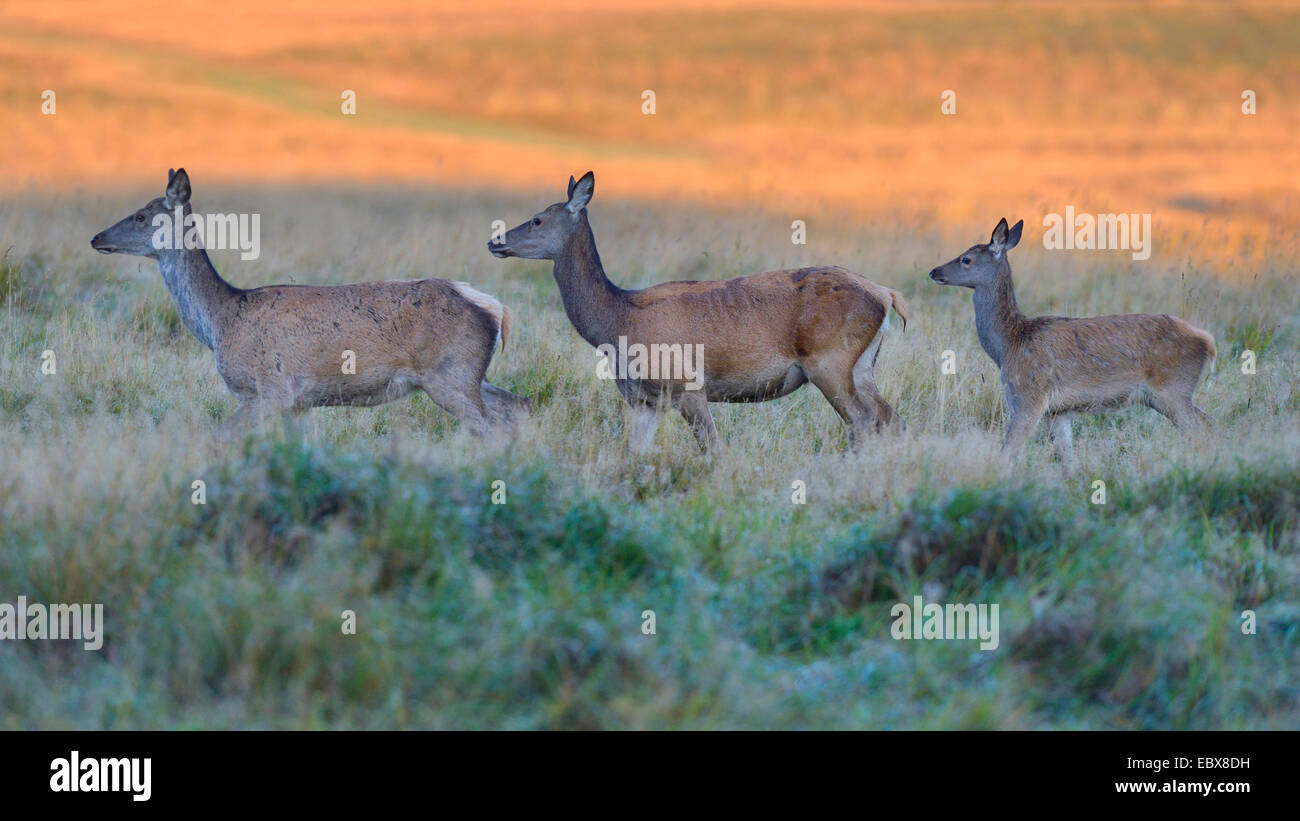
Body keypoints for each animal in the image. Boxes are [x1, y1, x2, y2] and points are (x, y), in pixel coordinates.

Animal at [91, 166, 530, 436]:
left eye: (141, 216)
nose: (96, 237)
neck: (221, 323)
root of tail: (497, 308)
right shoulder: (297, 405)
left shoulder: (272, 389)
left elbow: (218, 438)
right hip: (470, 375)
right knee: (518, 406)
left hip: (450, 375)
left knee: (491, 427)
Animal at [486, 170, 904, 452]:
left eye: (538, 219)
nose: (495, 241)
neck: (617, 322)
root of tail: (886, 295)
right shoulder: (642, 400)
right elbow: (635, 452)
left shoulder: (687, 383)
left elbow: (712, 447)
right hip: (862, 365)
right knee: (889, 417)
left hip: (829, 361)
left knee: (862, 421)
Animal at [930, 218, 1211, 465]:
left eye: (966, 259)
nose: (934, 271)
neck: (1009, 345)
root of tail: (1208, 341)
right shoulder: (1059, 411)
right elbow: (1066, 460)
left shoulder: (1029, 396)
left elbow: (1008, 452)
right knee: (1209, 421)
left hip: (1173, 388)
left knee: (1200, 429)